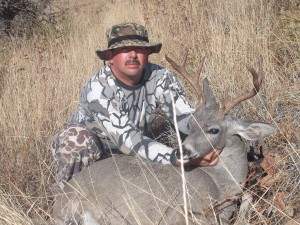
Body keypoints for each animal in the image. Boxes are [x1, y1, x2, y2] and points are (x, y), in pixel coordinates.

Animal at [51, 54, 276, 225]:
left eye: (213, 129)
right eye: (192, 123)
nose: (183, 150)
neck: (219, 184)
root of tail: (60, 200)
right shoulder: (181, 212)